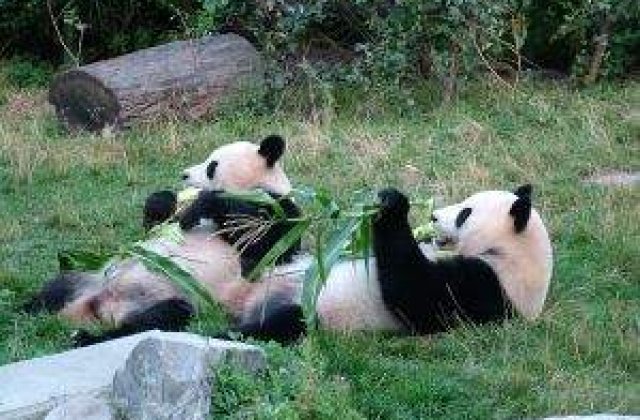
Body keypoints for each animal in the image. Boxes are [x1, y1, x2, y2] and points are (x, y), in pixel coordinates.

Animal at [25, 135, 305, 345]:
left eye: (211, 166)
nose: (184, 175)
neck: (258, 188)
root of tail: (98, 307)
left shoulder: (278, 209)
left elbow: (265, 246)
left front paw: (202, 205)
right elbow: (154, 224)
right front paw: (166, 201)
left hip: (172, 295)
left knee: (162, 317)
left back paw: (86, 337)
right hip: (91, 279)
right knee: (57, 287)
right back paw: (29, 308)